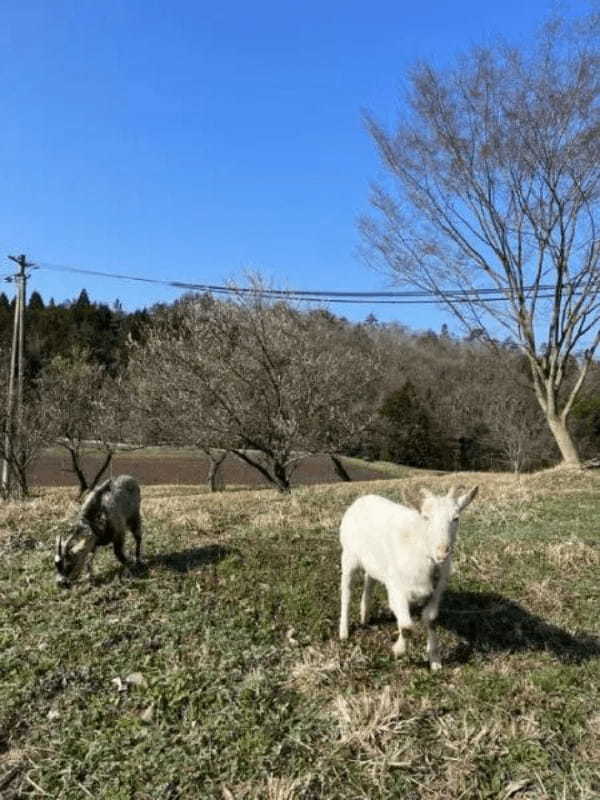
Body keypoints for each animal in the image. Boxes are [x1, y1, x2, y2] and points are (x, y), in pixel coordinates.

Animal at [340, 488, 476, 668]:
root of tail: (362, 499)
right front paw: (397, 650)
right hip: (349, 555)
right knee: (346, 592)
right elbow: (406, 627)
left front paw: (435, 660)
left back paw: (365, 616)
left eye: (456, 518)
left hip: (373, 563)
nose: (442, 552)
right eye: (425, 517)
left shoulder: (438, 590)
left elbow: (431, 619)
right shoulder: (396, 589)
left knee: (369, 579)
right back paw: (344, 631)